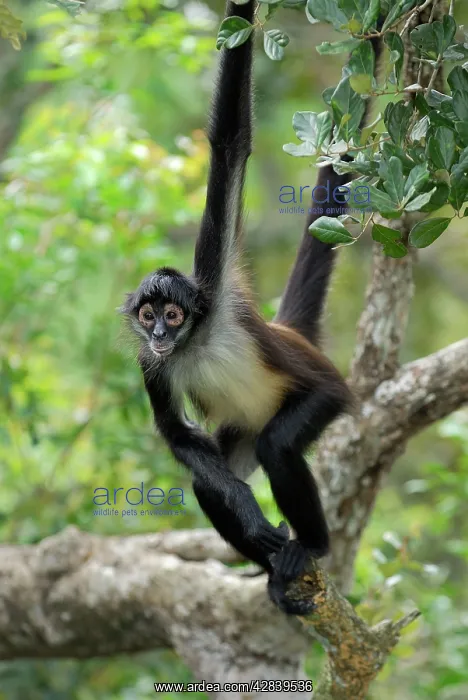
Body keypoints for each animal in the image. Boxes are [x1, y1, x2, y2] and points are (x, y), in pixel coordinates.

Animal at [122, 0, 356, 614]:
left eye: (173, 314)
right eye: (147, 317)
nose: (160, 334)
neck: (196, 339)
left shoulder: (217, 286)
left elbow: (230, 140)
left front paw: (242, 14)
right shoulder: (149, 363)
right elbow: (177, 435)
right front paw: (250, 514)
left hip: (324, 394)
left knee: (279, 444)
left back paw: (312, 547)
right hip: (240, 432)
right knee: (210, 480)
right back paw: (272, 570)